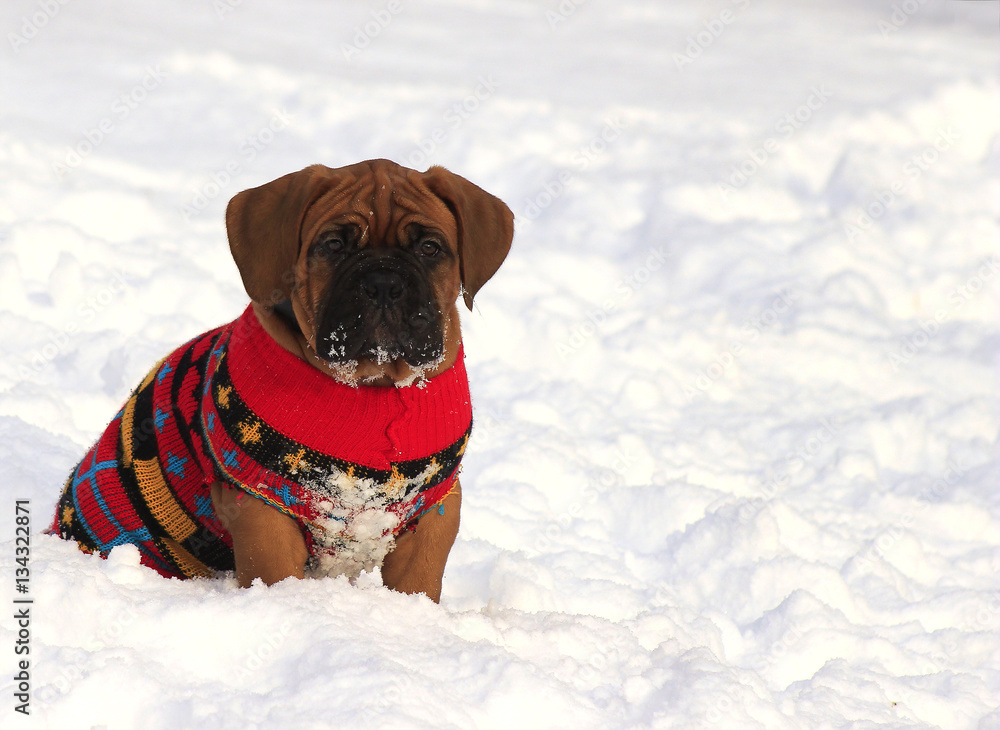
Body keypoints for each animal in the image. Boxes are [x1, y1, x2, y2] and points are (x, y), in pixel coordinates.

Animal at [49, 161, 512, 604]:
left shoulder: (433, 510)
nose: (383, 283)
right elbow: (275, 576)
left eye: (429, 248)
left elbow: (418, 584)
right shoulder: (261, 507)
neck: (373, 386)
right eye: (334, 245)